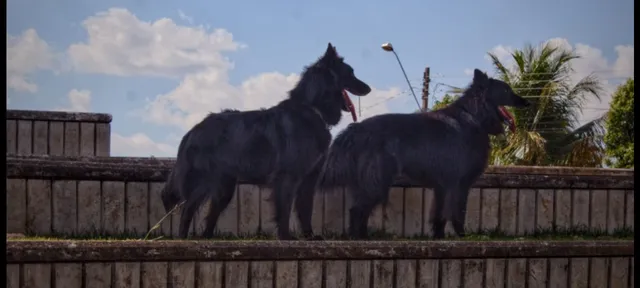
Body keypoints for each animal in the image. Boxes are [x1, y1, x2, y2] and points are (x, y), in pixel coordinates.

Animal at [161, 42, 370, 241]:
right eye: (350, 73)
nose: (369, 88)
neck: (312, 108)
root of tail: (192, 130)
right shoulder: (287, 177)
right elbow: (284, 210)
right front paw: (286, 237)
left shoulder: (308, 180)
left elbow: (305, 209)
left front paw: (309, 236)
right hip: (206, 182)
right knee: (187, 208)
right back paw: (183, 238)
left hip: (224, 189)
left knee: (210, 215)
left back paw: (207, 238)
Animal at [316, 69, 528, 238]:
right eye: (507, 90)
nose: (527, 101)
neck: (473, 116)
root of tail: (357, 129)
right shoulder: (458, 184)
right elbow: (457, 211)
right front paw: (462, 236)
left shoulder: (442, 187)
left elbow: (439, 215)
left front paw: (439, 237)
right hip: (377, 182)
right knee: (357, 210)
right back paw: (359, 239)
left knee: (358, 210)